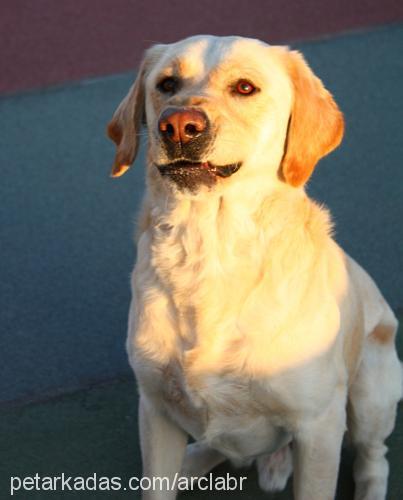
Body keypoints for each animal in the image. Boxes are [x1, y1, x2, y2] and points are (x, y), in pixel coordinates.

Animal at [105, 36, 402, 500]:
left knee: (375, 457)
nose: (179, 125)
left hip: (372, 386)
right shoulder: (154, 409)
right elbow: (156, 483)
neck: (209, 249)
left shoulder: (320, 426)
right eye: (166, 84)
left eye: (245, 88)